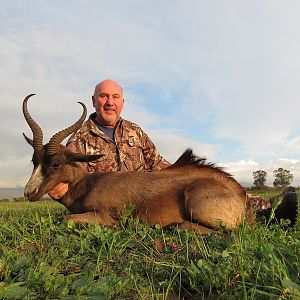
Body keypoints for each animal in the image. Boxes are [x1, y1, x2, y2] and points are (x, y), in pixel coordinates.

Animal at [23, 94, 247, 234]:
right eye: (34, 160)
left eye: (55, 164)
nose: (29, 192)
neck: (88, 185)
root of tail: (239, 195)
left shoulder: (106, 218)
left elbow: (66, 219)